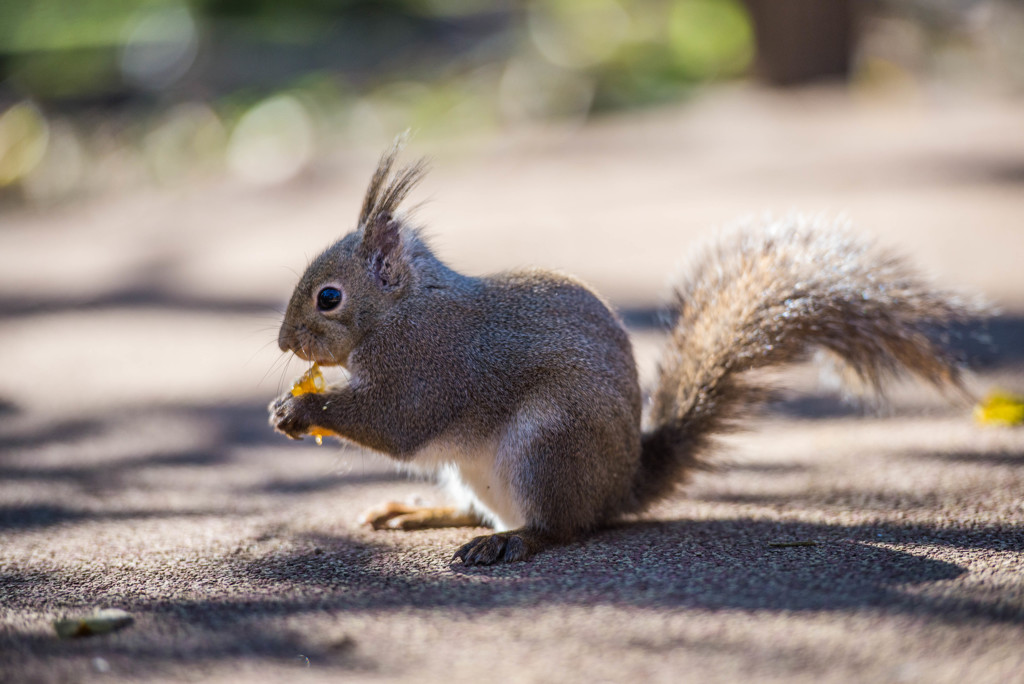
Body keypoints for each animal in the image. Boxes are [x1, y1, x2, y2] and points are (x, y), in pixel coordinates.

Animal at [268, 140, 970, 565]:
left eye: (328, 297)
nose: (282, 342)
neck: (403, 310)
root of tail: (618, 488)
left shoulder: (429, 365)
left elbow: (398, 422)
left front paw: (301, 411)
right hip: (478, 469)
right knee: (476, 510)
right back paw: (415, 513)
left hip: (550, 445)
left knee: (561, 528)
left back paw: (513, 541)